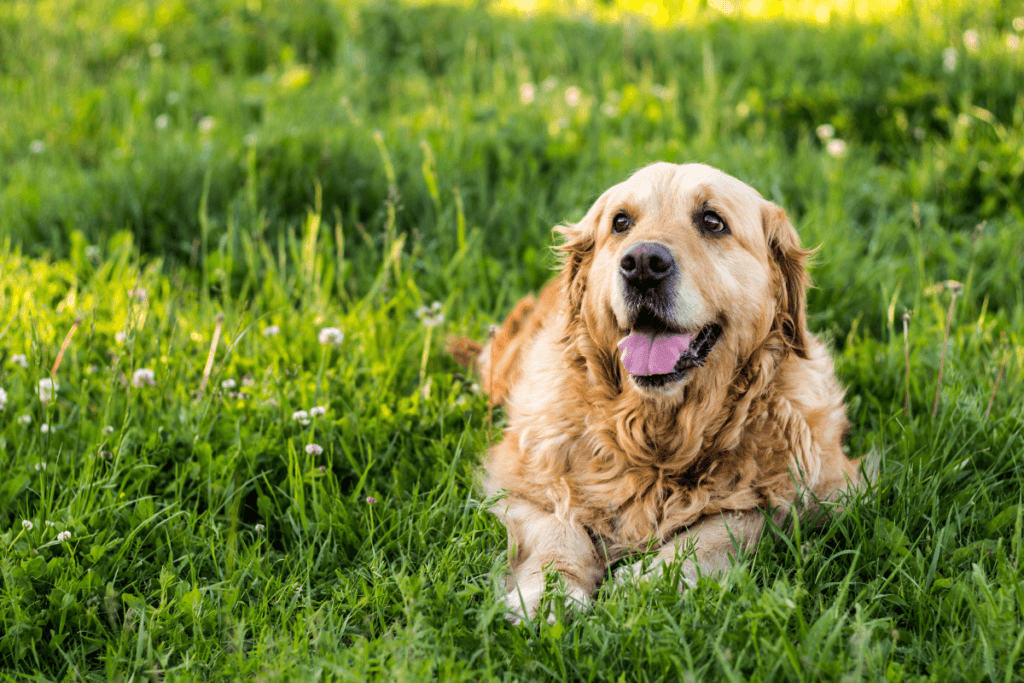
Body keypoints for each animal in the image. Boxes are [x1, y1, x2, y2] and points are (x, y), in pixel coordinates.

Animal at [452, 162, 860, 622]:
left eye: (712, 221)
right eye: (620, 222)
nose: (643, 264)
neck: (660, 436)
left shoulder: (826, 489)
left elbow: (732, 524)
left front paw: (652, 581)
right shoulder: (517, 481)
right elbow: (556, 524)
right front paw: (552, 590)